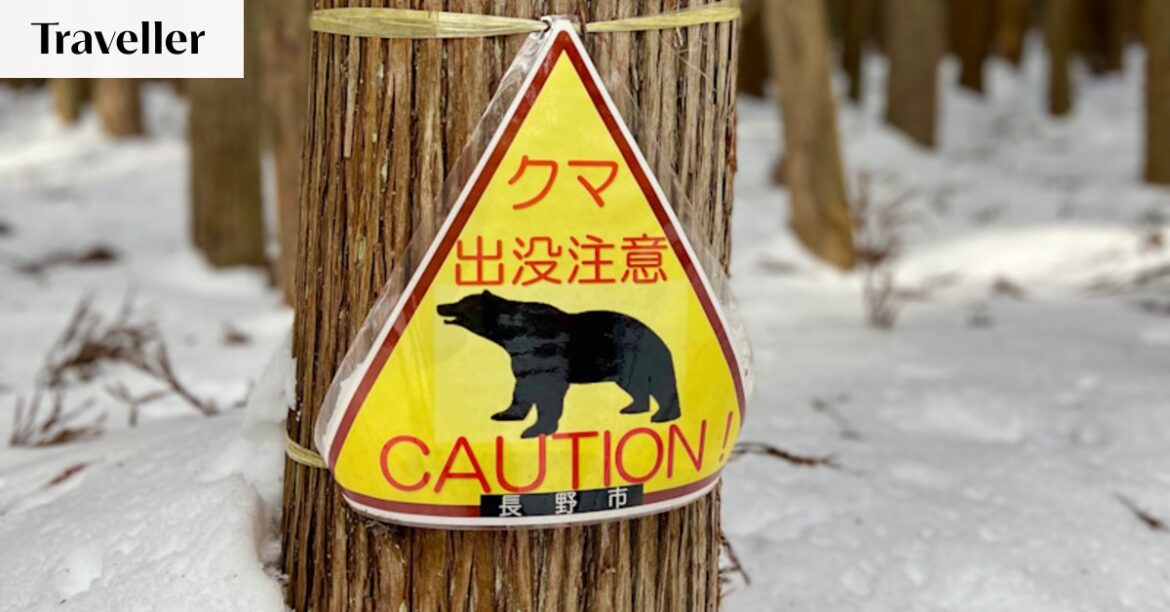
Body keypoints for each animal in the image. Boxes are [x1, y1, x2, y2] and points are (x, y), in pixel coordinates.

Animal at [437, 290, 681, 438]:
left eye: (460, 302)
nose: (440, 305)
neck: (510, 334)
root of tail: (659, 337)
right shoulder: (523, 357)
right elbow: (522, 388)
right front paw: (505, 414)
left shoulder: (545, 352)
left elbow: (549, 393)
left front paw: (535, 429)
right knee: (636, 386)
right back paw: (634, 407)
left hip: (641, 356)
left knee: (661, 385)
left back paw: (662, 415)